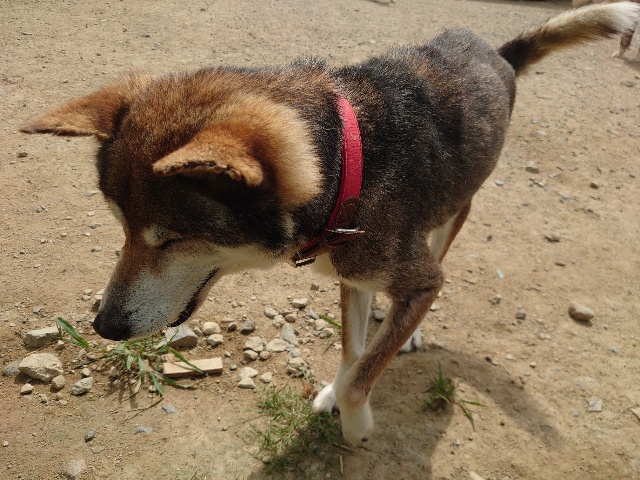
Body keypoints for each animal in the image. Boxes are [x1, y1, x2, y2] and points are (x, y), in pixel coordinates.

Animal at [21, 3, 640, 445]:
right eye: (121, 226)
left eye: (172, 238)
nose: (105, 326)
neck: (347, 165)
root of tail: (496, 51)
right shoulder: (351, 277)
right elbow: (352, 352)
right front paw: (333, 392)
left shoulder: (413, 276)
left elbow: (367, 369)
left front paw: (355, 420)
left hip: (455, 213)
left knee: (438, 253)